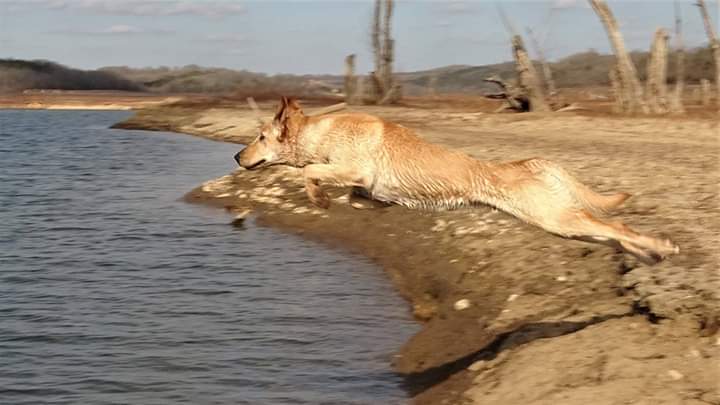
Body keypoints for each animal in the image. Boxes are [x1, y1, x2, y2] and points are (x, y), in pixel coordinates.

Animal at [236, 96, 680, 264]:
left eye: (260, 137)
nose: (237, 156)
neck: (321, 132)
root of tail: (529, 162)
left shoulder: (352, 168)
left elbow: (310, 173)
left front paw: (318, 198)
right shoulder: (367, 189)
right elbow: (354, 197)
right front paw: (329, 199)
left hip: (556, 218)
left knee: (614, 224)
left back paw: (662, 246)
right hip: (560, 224)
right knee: (610, 232)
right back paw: (648, 253)